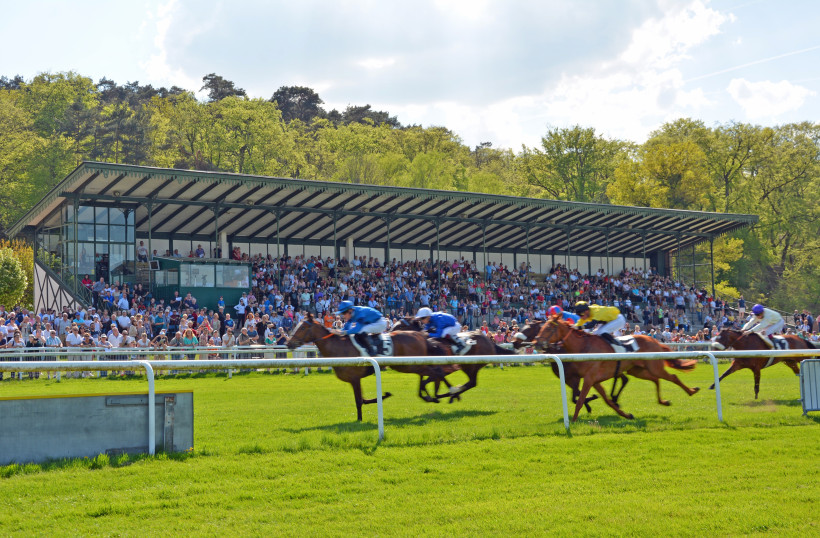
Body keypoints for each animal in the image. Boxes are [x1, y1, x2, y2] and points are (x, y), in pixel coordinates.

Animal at [286, 314, 454, 418]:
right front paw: (384, 396)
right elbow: (363, 400)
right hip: (411, 364)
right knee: (433, 372)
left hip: (408, 365)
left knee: (436, 371)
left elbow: (359, 401)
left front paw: (360, 419)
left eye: (302, 328)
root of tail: (420, 335)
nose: (288, 343)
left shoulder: (354, 378)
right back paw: (437, 395)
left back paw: (449, 393)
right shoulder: (355, 380)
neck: (338, 347)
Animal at [536, 314, 700, 422]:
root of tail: (654, 340)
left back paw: (692, 391)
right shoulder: (594, 380)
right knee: (655, 379)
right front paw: (627, 415)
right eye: (541, 326)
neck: (583, 347)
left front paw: (574, 421)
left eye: (549, 327)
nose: (536, 342)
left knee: (672, 377)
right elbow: (606, 400)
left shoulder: (589, 378)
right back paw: (664, 401)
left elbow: (581, 400)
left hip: (654, 366)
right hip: (637, 370)